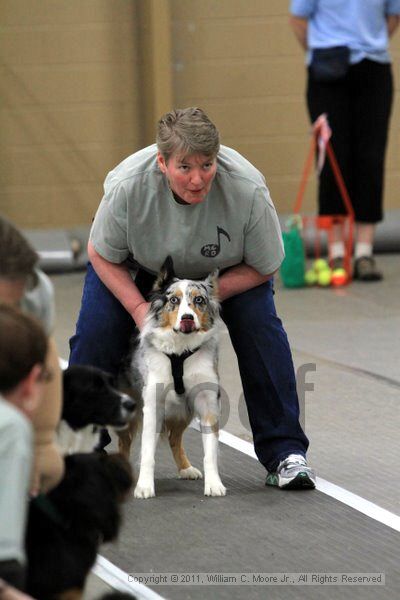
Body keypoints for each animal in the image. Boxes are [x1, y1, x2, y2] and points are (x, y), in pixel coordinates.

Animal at [118, 256, 225, 496]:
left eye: (199, 300)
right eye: (174, 300)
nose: (187, 318)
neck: (180, 351)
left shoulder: (207, 403)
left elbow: (210, 452)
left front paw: (214, 484)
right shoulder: (152, 405)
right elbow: (147, 451)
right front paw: (144, 486)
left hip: (183, 410)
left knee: (174, 438)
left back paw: (186, 468)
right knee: (124, 442)